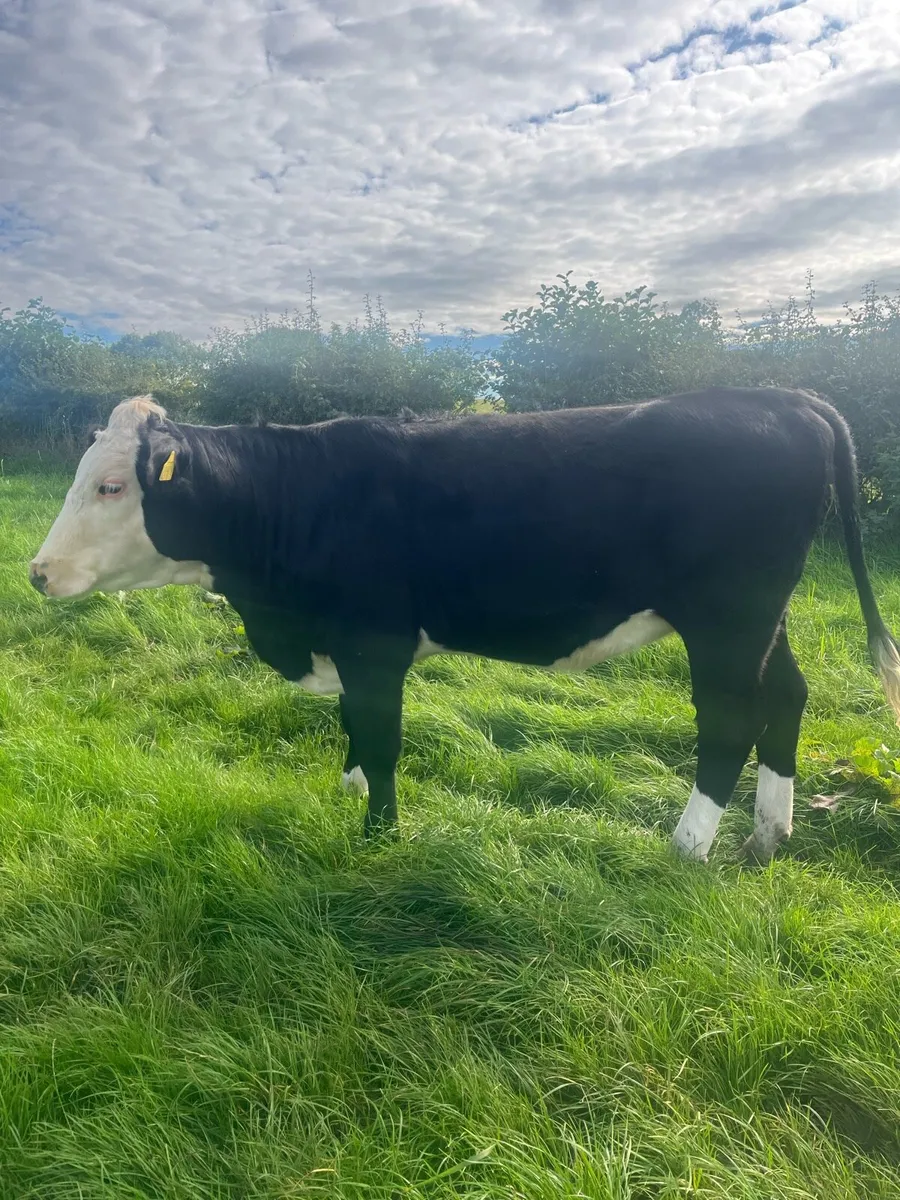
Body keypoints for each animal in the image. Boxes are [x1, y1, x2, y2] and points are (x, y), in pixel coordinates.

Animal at [29, 387, 900, 864]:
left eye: (112, 487)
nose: (37, 572)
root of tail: (779, 395)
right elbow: (355, 726)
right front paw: (348, 790)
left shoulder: (375, 641)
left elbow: (382, 737)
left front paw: (376, 834)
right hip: (764, 616)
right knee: (786, 696)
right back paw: (768, 834)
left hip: (726, 616)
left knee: (730, 719)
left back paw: (687, 846)